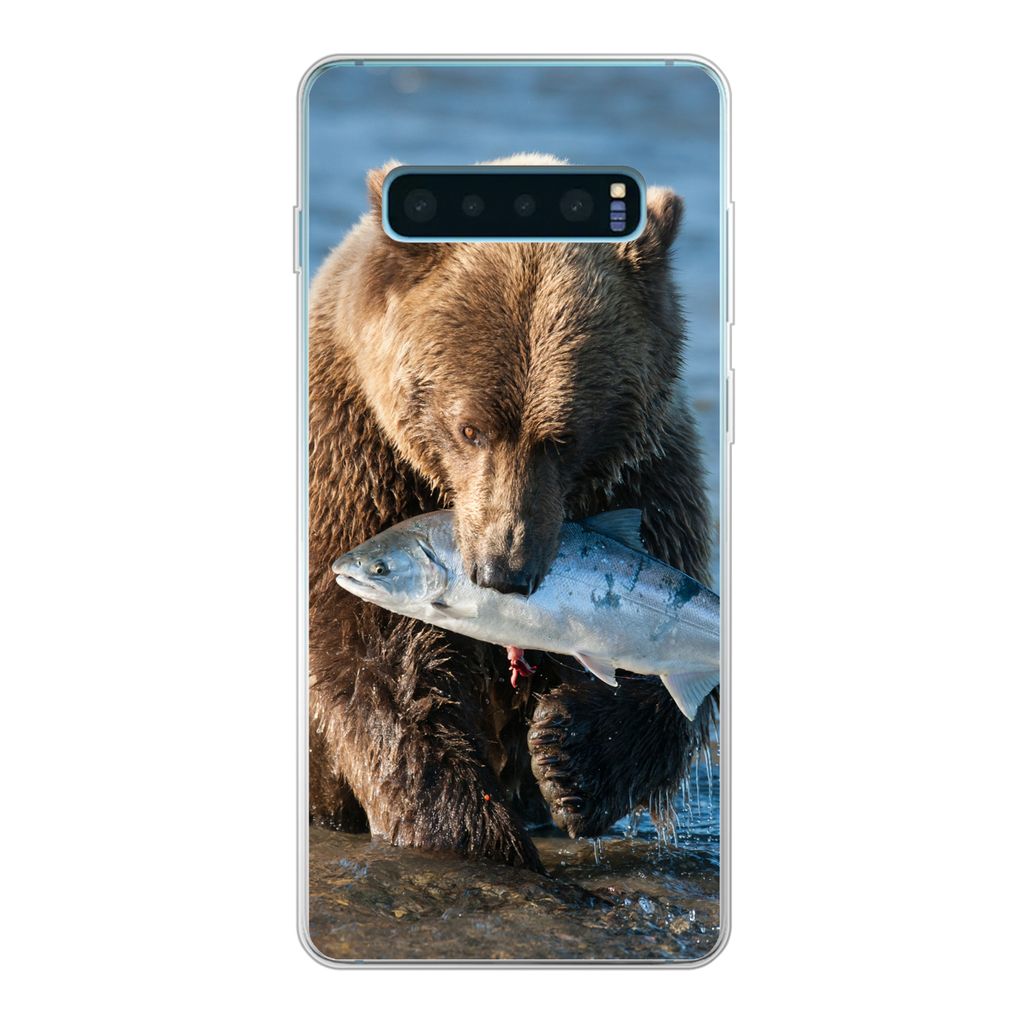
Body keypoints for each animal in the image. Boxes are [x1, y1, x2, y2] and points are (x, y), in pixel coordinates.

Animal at [308, 155, 714, 871]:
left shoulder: (650, 474)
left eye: (564, 438)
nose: (504, 571)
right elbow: (378, 666)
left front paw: (570, 756)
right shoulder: (355, 458)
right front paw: (476, 830)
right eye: (469, 428)